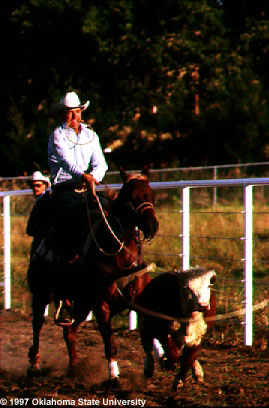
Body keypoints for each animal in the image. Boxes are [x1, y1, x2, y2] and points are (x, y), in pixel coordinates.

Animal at [26, 166, 159, 380]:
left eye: (152, 195)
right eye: (130, 198)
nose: (152, 226)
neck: (120, 255)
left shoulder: (138, 300)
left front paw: (151, 364)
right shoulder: (101, 304)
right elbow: (109, 342)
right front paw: (113, 376)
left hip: (82, 302)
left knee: (69, 331)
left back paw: (73, 367)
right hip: (41, 292)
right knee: (37, 324)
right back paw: (35, 365)